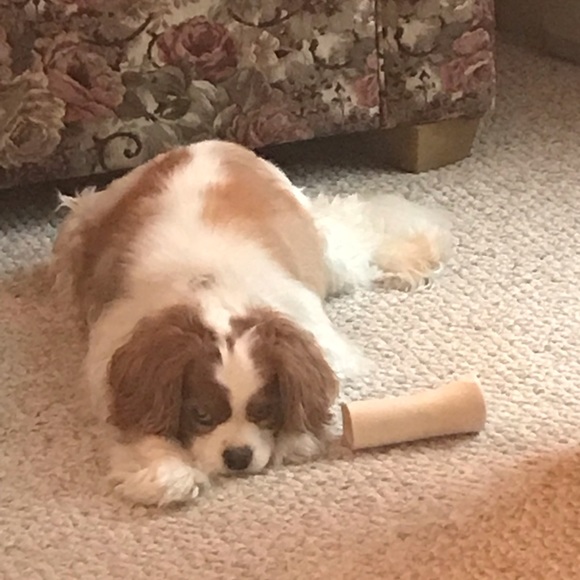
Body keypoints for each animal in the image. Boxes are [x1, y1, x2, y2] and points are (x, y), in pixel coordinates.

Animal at [52, 140, 452, 506]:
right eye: (201, 414)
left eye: (264, 410)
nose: (238, 457)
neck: (211, 290)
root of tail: (206, 144)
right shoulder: (117, 358)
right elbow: (143, 425)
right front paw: (168, 473)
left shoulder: (314, 338)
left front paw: (296, 439)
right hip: (80, 222)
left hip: (325, 250)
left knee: (355, 229)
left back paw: (412, 256)